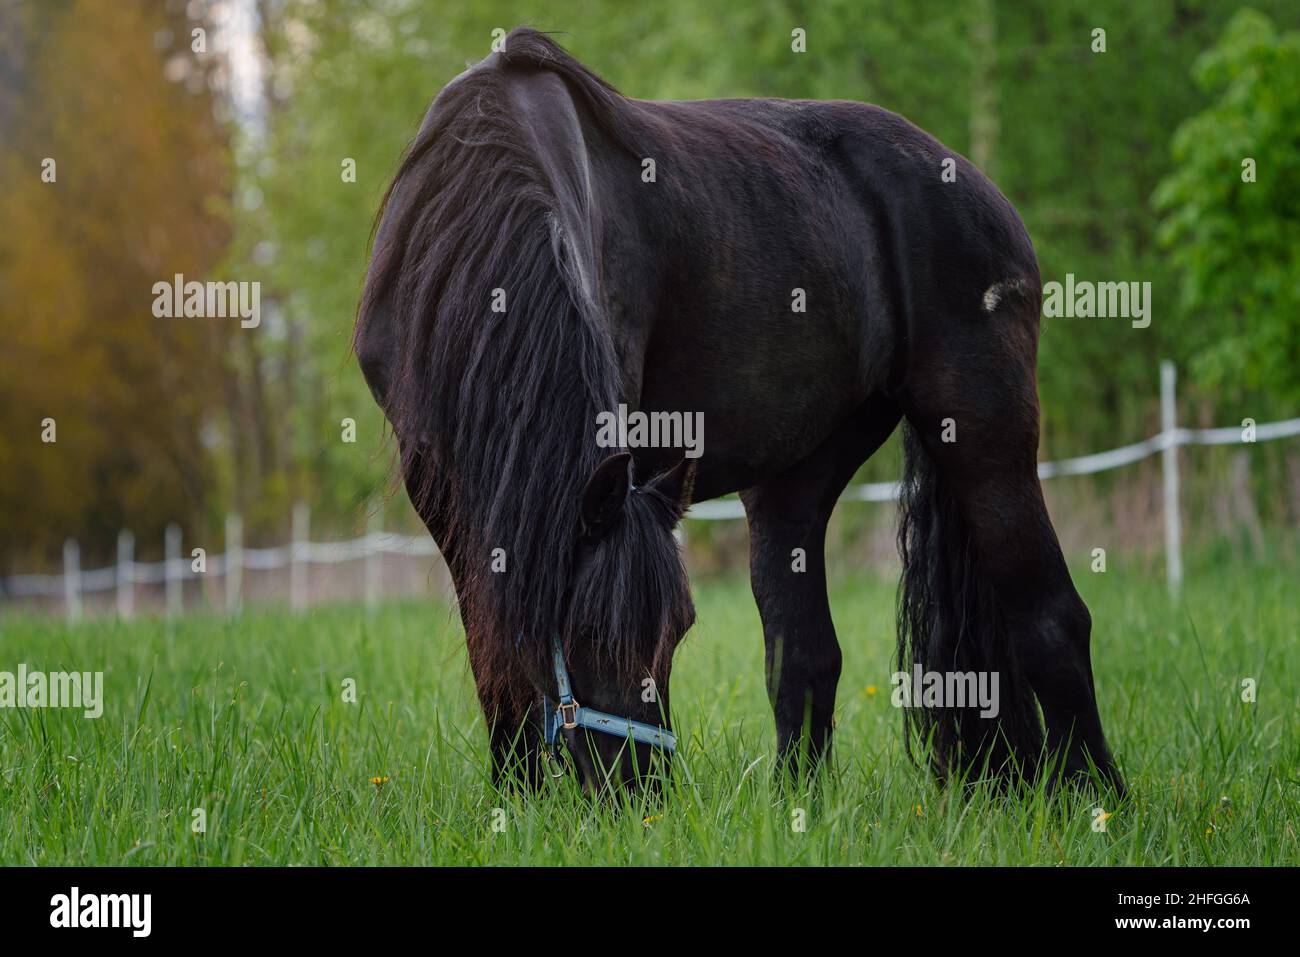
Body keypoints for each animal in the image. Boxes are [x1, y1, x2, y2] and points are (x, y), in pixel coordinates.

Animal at [354, 27, 1124, 796]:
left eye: (678, 632)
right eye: (590, 635)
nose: (640, 794)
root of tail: (976, 186)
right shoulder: (444, 489)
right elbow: (495, 647)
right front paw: (517, 795)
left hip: (986, 435)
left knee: (1055, 618)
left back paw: (1096, 795)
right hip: (795, 480)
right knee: (805, 653)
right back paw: (800, 801)